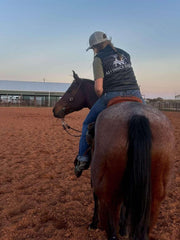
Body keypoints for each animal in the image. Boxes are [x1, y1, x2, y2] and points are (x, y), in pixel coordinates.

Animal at [53, 71, 174, 240]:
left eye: (70, 90)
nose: (55, 109)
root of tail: (137, 117)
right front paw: (124, 228)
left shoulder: (95, 179)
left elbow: (95, 197)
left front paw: (93, 223)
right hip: (154, 199)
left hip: (108, 194)